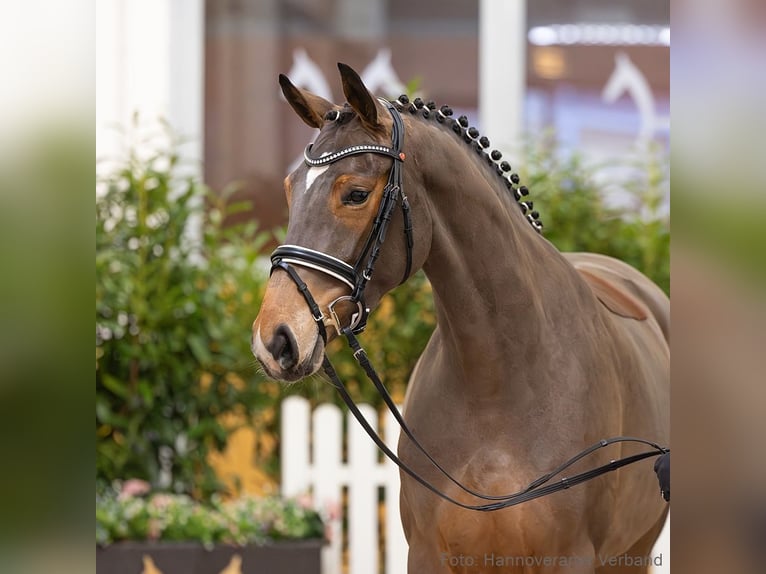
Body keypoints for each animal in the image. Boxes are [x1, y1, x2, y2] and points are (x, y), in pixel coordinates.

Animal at [252, 63, 669, 573]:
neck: (498, 383)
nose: (275, 338)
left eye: (355, 194)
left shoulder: (570, 558)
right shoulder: (429, 555)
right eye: (290, 189)